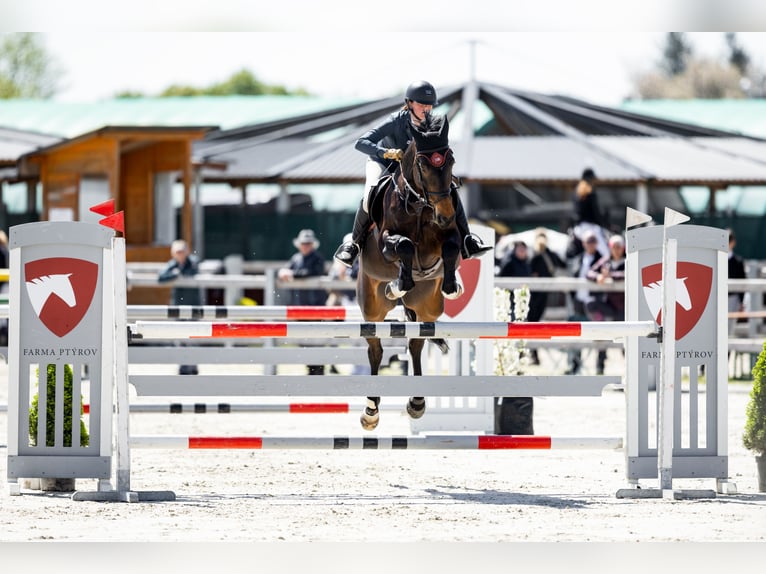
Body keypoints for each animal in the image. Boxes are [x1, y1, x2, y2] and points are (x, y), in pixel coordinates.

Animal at [356, 113, 463, 430]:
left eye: (451, 160)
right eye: (423, 165)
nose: (445, 215)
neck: (418, 204)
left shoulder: (448, 236)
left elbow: (451, 247)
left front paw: (451, 285)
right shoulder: (385, 241)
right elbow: (403, 245)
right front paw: (398, 283)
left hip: (426, 307)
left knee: (416, 344)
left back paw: (417, 402)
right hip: (372, 308)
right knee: (376, 349)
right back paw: (371, 410)